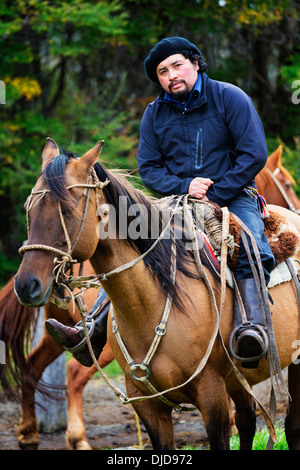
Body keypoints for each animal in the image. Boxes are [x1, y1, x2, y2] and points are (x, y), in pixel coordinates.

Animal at [13, 138, 300, 450]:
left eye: (66, 210)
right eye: (29, 209)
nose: (26, 285)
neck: (156, 303)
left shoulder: (212, 396)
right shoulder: (146, 403)